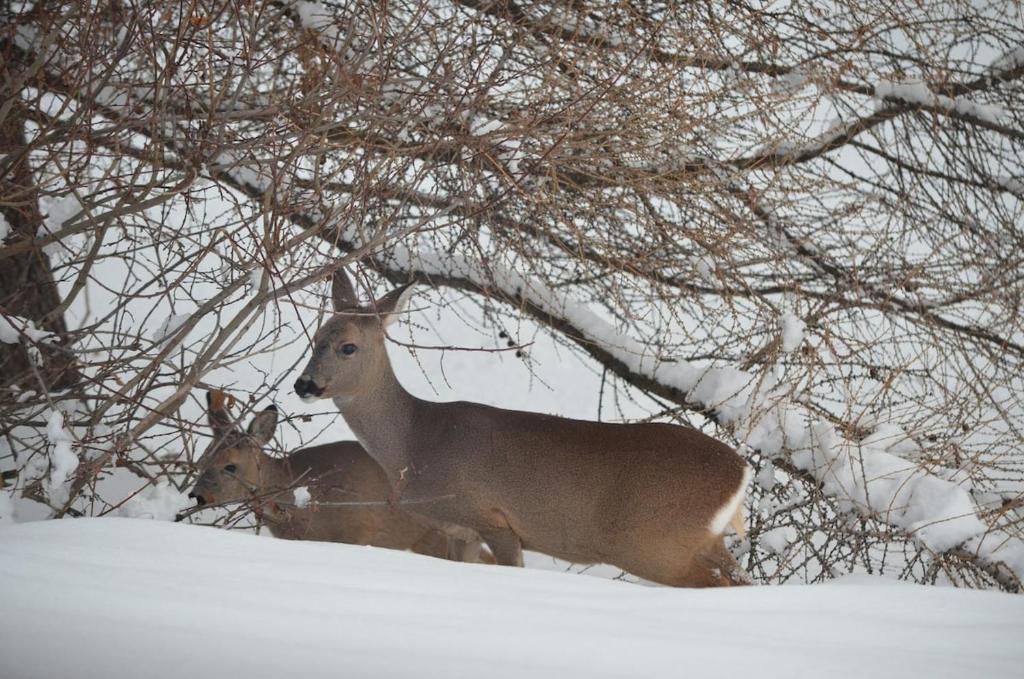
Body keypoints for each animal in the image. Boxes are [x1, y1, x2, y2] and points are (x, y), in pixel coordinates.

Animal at [293, 269, 753, 587]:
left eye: (348, 347)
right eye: (314, 337)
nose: (304, 385)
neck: (415, 444)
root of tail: (741, 470)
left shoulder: (493, 518)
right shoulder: (458, 529)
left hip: (656, 544)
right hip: (703, 541)